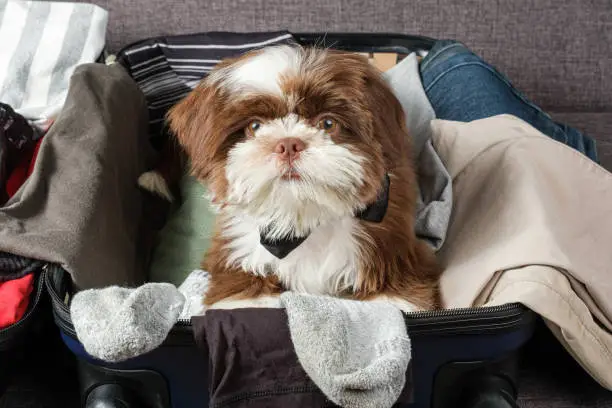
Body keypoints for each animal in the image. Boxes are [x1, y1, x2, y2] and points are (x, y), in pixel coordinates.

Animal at [143, 44, 440, 312]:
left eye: (328, 123)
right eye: (254, 126)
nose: (288, 144)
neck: (303, 217)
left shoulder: (392, 246)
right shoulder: (236, 248)